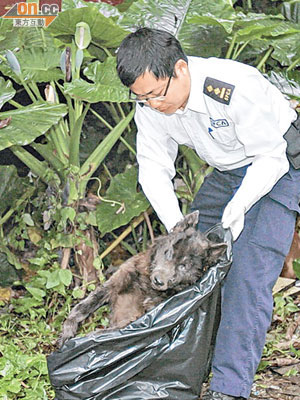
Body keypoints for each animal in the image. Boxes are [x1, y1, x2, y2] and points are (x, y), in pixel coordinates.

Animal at [58, 212, 226, 346]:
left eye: (183, 266)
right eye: (168, 252)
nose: (159, 281)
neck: (146, 285)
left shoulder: (140, 318)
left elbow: (108, 332)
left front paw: (90, 338)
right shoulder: (114, 283)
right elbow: (85, 304)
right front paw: (68, 328)